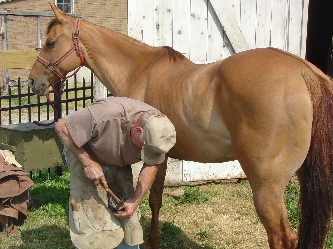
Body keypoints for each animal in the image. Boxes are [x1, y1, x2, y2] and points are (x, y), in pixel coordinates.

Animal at [27, 4, 332, 249]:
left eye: (51, 42)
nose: (32, 81)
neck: (139, 70)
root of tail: (302, 70)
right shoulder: (162, 156)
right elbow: (156, 198)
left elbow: (149, 197)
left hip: (266, 187)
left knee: (281, 237)